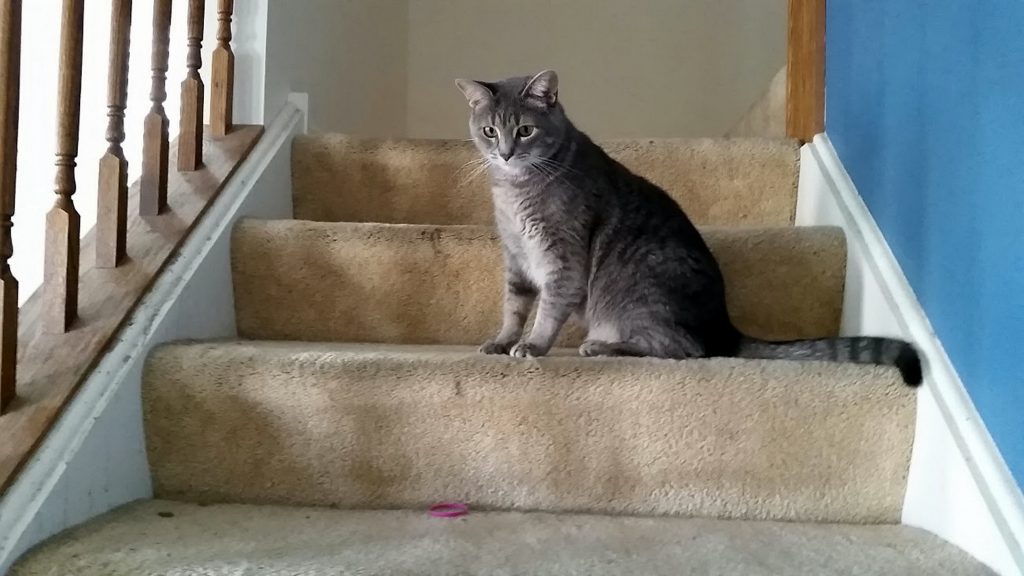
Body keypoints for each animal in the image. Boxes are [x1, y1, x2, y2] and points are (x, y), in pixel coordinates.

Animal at [460, 70, 925, 385]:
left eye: (525, 129)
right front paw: (502, 339)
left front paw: (533, 346)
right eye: (489, 131)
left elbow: (547, 311)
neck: (514, 189)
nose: (505, 153)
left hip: (634, 294)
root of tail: (724, 326)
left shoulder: (563, 257)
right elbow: (514, 307)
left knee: (684, 349)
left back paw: (601, 345)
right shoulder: (516, 258)